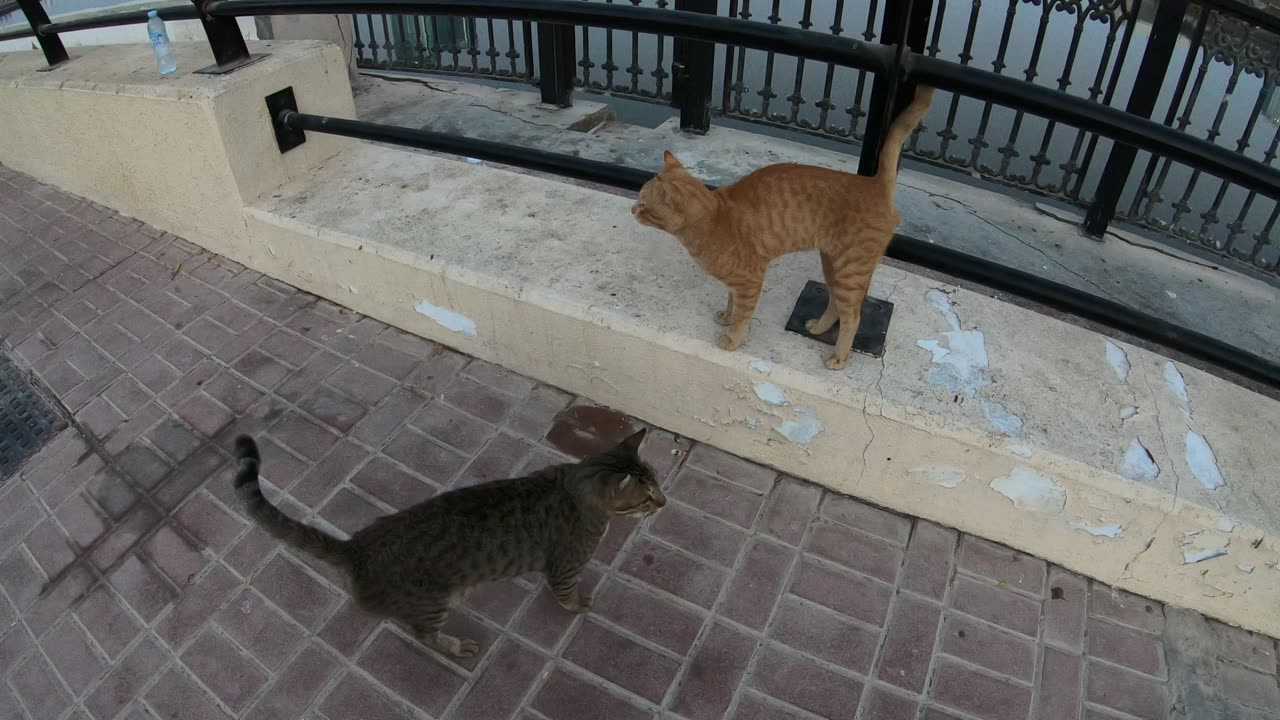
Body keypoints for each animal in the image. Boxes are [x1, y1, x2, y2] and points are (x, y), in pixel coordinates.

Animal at [234, 425, 665, 655]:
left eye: (659, 483)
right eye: (646, 498)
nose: (664, 503)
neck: (574, 485)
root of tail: (356, 547)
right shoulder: (565, 567)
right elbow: (566, 594)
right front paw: (577, 605)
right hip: (432, 604)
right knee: (424, 636)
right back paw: (456, 648)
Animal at [634, 83, 936, 366]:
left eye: (644, 205)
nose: (632, 209)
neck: (712, 219)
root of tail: (873, 183)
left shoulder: (751, 280)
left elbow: (742, 316)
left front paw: (732, 338)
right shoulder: (736, 283)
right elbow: (731, 302)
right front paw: (726, 316)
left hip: (850, 270)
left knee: (853, 315)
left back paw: (839, 358)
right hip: (833, 265)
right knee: (836, 303)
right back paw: (819, 328)